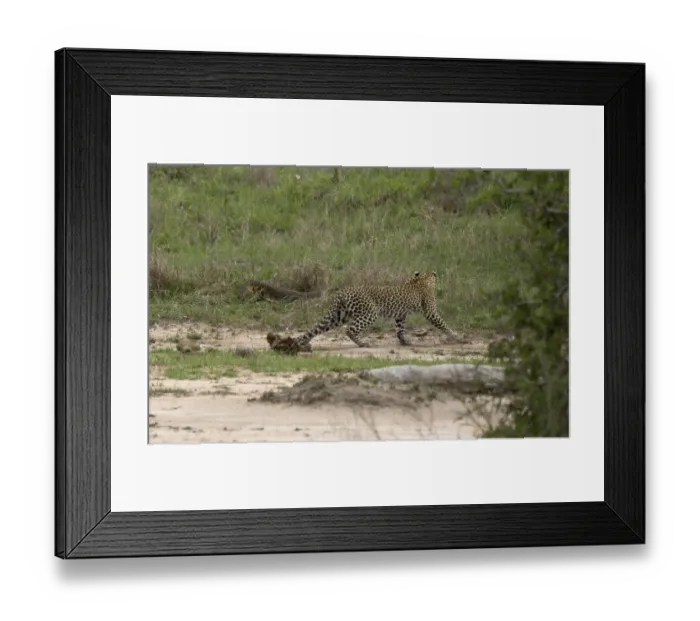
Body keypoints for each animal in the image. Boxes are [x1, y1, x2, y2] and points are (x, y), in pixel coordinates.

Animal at [295, 271, 459, 349]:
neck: (421, 280)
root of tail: (341, 292)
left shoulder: (400, 316)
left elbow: (400, 329)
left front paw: (405, 341)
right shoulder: (430, 311)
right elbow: (442, 323)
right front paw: (455, 336)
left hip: (338, 316)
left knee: (317, 328)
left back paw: (303, 343)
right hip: (369, 313)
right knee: (349, 329)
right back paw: (363, 344)